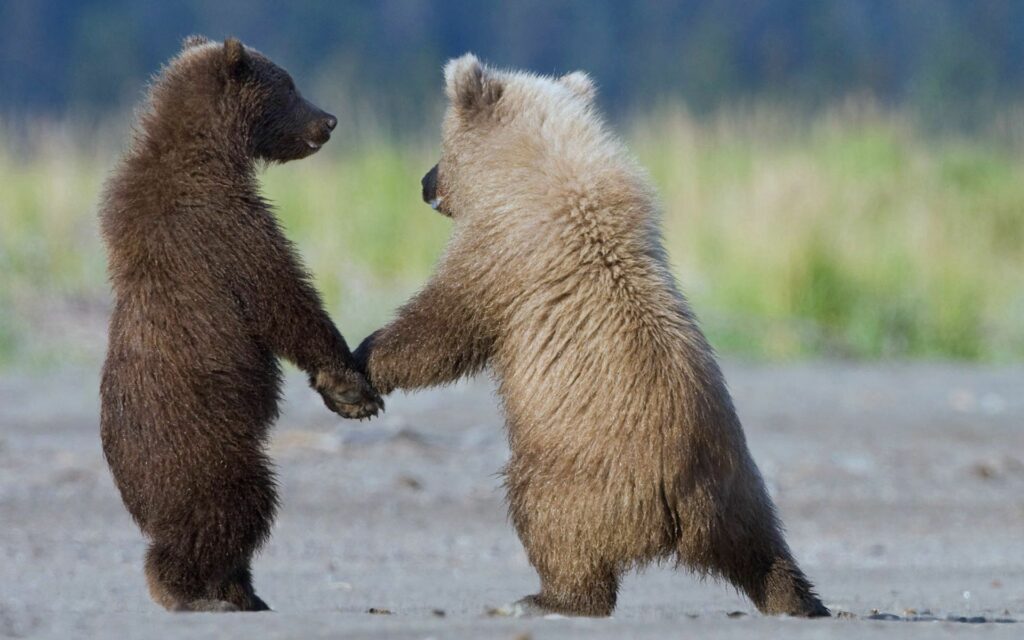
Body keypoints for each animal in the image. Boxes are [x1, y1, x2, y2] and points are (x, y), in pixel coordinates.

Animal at [99, 36, 382, 612]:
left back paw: (241, 590)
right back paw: (200, 589)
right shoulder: (221, 224)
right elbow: (280, 296)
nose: (329, 119)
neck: (212, 151)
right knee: (235, 506)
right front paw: (348, 386)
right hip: (206, 448)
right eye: (290, 85)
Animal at [355, 54, 829, 618]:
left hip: (581, 474)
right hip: (742, 488)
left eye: (442, 144)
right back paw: (800, 600)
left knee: (550, 522)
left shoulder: (506, 252)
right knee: (763, 550)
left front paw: (364, 359)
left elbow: (446, 326)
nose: (425, 183)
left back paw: (547, 596)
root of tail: (685, 502)